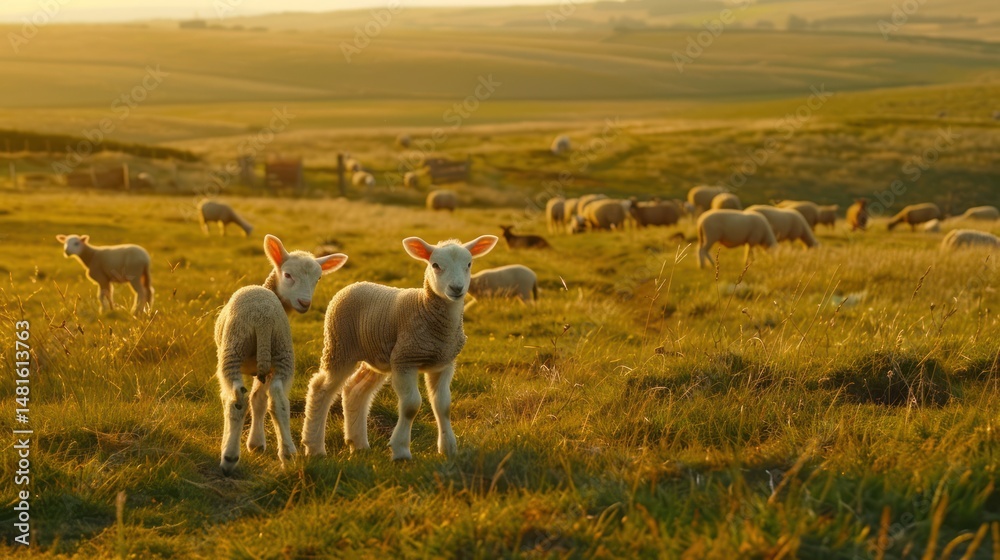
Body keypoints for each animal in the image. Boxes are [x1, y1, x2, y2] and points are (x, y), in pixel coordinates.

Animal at [215, 235, 347, 475]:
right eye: (287, 275)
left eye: (318, 278)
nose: (305, 303)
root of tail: (263, 317)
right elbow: (259, 400)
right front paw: (257, 443)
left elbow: (244, 399)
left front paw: (252, 443)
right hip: (282, 350)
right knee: (278, 400)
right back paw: (288, 453)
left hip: (233, 349)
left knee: (237, 399)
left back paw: (229, 457)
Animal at [300, 235, 498, 460]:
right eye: (435, 265)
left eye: (469, 264)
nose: (456, 288)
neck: (426, 309)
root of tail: (352, 285)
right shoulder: (405, 359)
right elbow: (411, 405)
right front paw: (401, 450)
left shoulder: (444, 363)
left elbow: (443, 406)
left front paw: (448, 448)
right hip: (340, 346)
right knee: (321, 388)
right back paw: (314, 447)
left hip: (377, 356)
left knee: (355, 389)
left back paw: (358, 444)